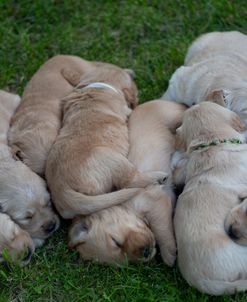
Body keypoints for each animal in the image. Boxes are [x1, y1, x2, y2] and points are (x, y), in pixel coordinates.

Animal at [46, 64, 166, 219]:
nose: (133, 72)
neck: (100, 84)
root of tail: (61, 192)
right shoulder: (126, 109)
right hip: (112, 158)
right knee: (130, 181)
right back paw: (159, 176)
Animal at [67, 100, 185, 266]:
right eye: (126, 263)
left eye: (115, 241)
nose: (146, 252)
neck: (127, 206)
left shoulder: (155, 199)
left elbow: (161, 229)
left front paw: (169, 255)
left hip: (171, 114)